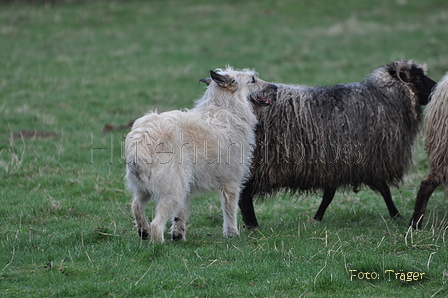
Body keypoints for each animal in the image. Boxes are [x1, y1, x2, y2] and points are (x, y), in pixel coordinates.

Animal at [123, 67, 276, 242]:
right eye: (252, 80)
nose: (276, 87)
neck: (226, 109)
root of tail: (142, 139)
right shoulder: (231, 182)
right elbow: (230, 211)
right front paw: (232, 234)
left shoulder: (188, 188)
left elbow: (181, 214)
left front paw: (178, 235)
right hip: (173, 191)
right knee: (156, 224)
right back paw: (158, 244)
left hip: (146, 188)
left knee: (136, 206)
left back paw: (143, 231)